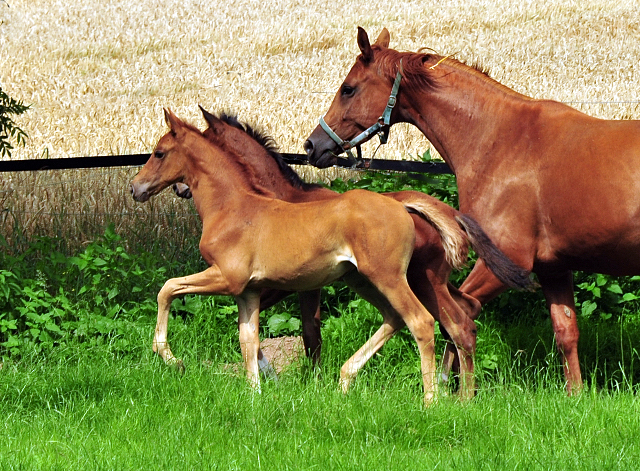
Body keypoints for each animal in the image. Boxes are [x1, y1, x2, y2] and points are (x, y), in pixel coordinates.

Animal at [134, 109, 476, 402]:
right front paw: (255, 395)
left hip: (390, 277)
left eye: (159, 152)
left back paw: (432, 399)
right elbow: (249, 339)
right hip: (361, 279)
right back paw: (345, 380)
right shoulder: (249, 291)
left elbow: (167, 289)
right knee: (398, 317)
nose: (135, 188)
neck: (233, 206)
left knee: (423, 322)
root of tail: (400, 204)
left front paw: (170, 358)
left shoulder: (228, 278)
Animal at [302, 26, 640, 394]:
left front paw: (456, 391)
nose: (312, 145)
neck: (502, 142)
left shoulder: (505, 262)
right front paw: (574, 396)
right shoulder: (553, 268)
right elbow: (566, 333)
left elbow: (462, 314)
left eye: (348, 88)